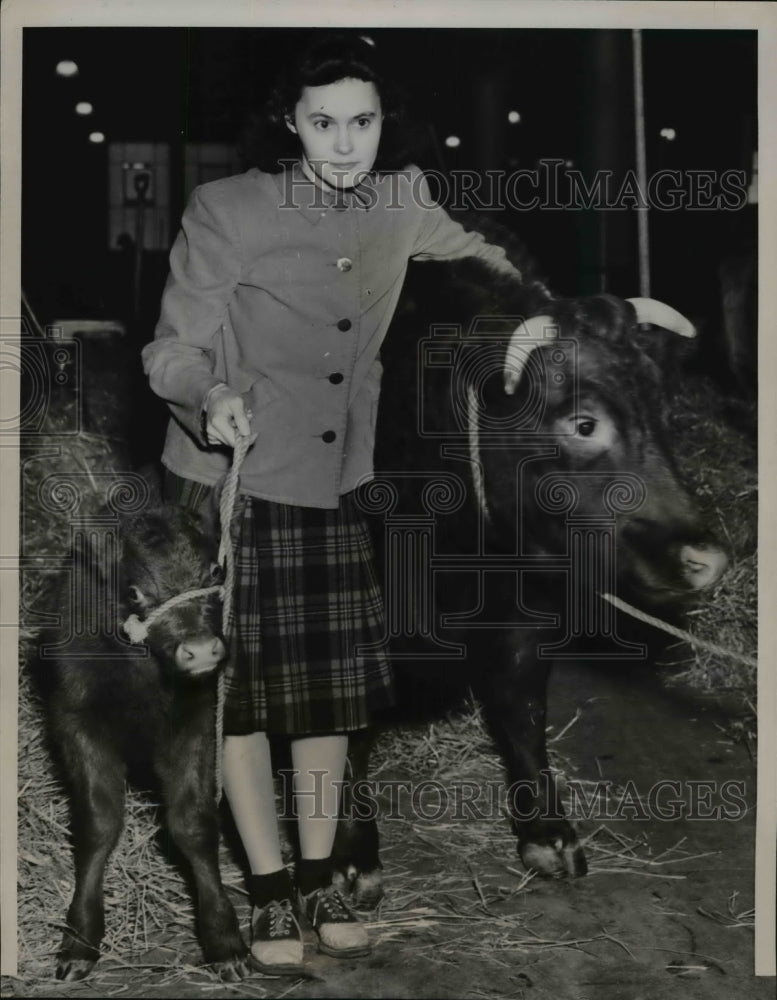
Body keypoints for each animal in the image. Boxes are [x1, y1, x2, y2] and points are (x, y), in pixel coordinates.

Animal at [34, 504, 249, 980]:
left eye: (215, 572)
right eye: (133, 592)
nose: (201, 650)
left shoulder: (197, 724)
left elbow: (192, 823)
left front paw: (224, 938)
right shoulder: (77, 724)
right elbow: (98, 824)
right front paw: (79, 939)